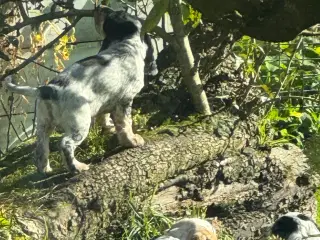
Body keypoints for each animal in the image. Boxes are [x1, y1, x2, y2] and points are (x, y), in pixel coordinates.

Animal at [3, 10, 152, 173]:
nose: (100, 8)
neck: (125, 45)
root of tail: (48, 89)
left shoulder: (106, 100)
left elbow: (105, 116)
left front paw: (110, 127)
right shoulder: (125, 100)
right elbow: (126, 123)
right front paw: (132, 141)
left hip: (44, 123)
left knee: (41, 147)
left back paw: (45, 169)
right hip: (80, 122)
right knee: (65, 143)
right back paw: (77, 167)